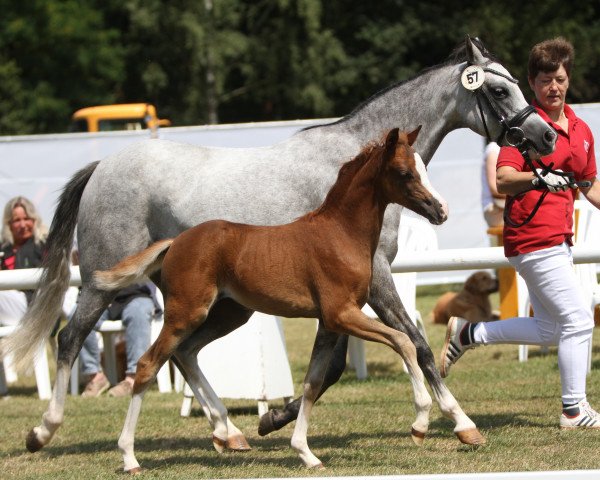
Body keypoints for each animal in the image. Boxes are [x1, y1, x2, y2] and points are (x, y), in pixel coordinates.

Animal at [96, 125, 448, 470]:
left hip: (227, 314)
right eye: (404, 172)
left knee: (185, 353)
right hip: (186, 313)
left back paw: (223, 432)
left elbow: (312, 383)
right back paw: (130, 457)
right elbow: (403, 342)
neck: (341, 234)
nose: (440, 210)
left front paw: (305, 453)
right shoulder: (342, 314)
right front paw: (420, 423)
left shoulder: (329, 324)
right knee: (148, 364)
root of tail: (175, 242)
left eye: (423, 168)